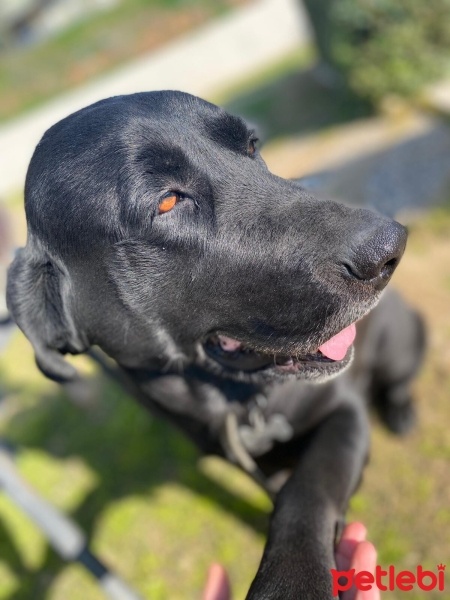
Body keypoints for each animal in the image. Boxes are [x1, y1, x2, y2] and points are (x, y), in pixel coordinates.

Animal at [5, 91, 424, 596]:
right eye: (167, 201)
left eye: (252, 145)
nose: (389, 248)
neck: (232, 399)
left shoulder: (342, 410)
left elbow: (308, 488)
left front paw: (292, 578)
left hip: (400, 341)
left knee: (399, 379)